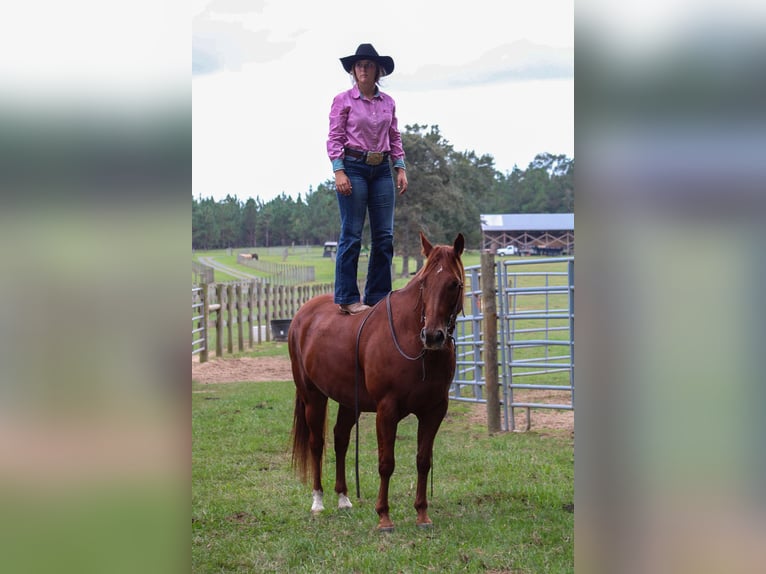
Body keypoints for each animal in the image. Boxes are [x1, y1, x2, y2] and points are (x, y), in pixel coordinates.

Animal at [290, 232, 464, 532]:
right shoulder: (387, 410)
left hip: (349, 401)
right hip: (313, 396)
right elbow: (386, 462)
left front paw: (422, 514)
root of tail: (303, 315)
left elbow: (423, 461)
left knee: (341, 439)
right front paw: (384, 516)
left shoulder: (434, 411)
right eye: (424, 283)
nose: (433, 336)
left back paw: (343, 498)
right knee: (317, 443)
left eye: (453, 284)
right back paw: (318, 501)